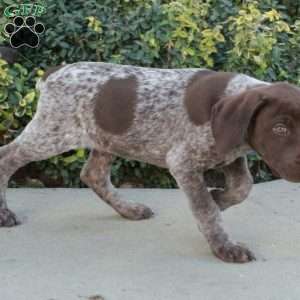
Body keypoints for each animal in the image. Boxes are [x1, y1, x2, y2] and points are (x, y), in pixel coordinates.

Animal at [0, 62, 300, 262]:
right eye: (279, 129)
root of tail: (53, 73)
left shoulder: (229, 153)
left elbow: (243, 187)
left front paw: (219, 198)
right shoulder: (183, 161)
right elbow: (206, 210)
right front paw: (223, 245)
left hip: (107, 137)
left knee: (93, 174)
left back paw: (129, 209)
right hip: (51, 134)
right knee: (7, 157)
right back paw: (4, 214)